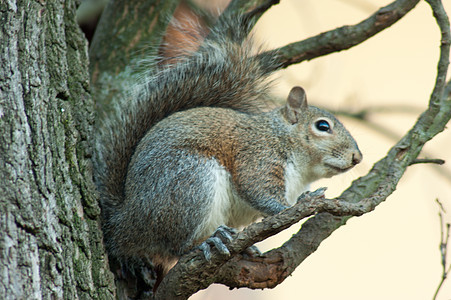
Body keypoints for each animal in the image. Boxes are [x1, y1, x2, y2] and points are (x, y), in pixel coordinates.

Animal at [93, 14, 362, 274]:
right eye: (322, 126)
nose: (357, 158)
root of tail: (125, 223)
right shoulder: (258, 156)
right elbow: (257, 190)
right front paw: (294, 205)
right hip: (189, 183)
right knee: (177, 245)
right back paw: (205, 242)